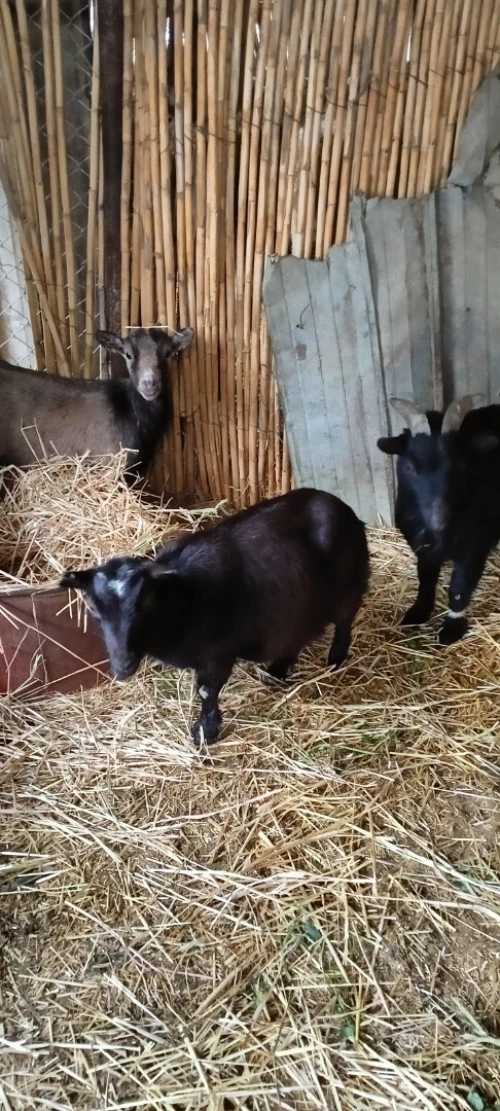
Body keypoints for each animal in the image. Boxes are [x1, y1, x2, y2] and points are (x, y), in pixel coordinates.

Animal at [60, 488, 369, 745]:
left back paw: (335, 660)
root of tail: (340, 505)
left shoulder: (218, 651)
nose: (122, 666)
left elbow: (207, 690)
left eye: (145, 602)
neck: (182, 600)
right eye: (92, 607)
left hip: (350, 588)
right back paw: (277, 671)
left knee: (344, 622)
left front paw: (205, 733)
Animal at [378, 394, 500, 643]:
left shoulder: (474, 547)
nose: (438, 519)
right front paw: (418, 612)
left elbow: (459, 587)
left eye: (461, 465)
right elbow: (425, 578)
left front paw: (452, 628)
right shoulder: (422, 547)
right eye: (409, 467)